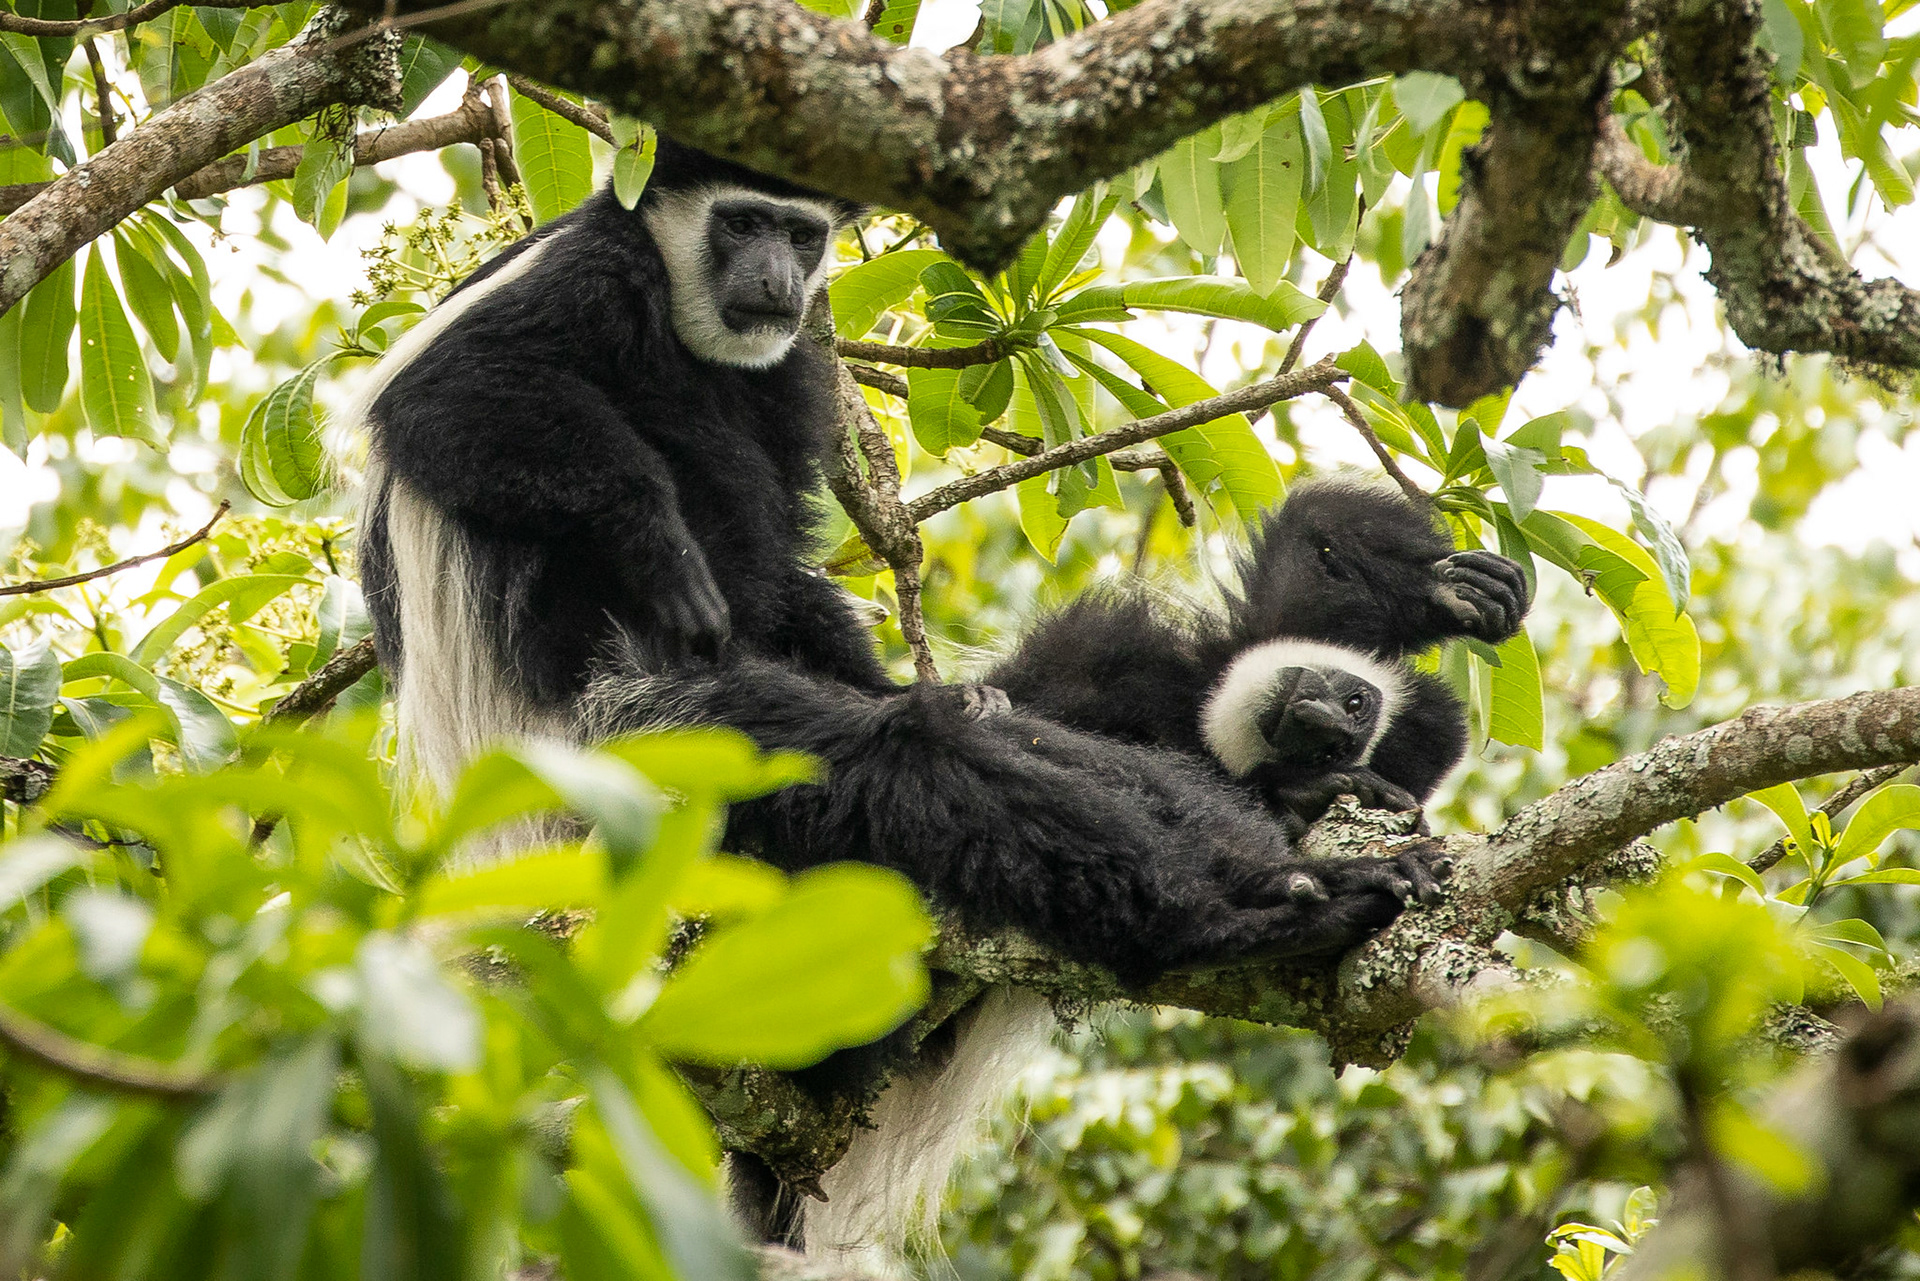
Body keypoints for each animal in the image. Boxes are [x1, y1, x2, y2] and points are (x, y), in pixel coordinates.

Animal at [349, 140, 1449, 1266]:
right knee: (896, 759)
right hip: (626, 760)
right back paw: (1228, 922)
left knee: (1062, 752)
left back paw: (1313, 852)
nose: (777, 279)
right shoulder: (586, 278)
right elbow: (450, 396)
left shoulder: (788, 374)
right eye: (741, 223)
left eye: (800, 235)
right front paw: (661, 547)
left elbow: (781, 565)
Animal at [988, 477, 1532, 836]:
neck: (1196, 707)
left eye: (1326, 751)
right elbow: (1317, 524)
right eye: (1355, 703)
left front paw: (1303, 794)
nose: (1320, 717)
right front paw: (1455, 594)